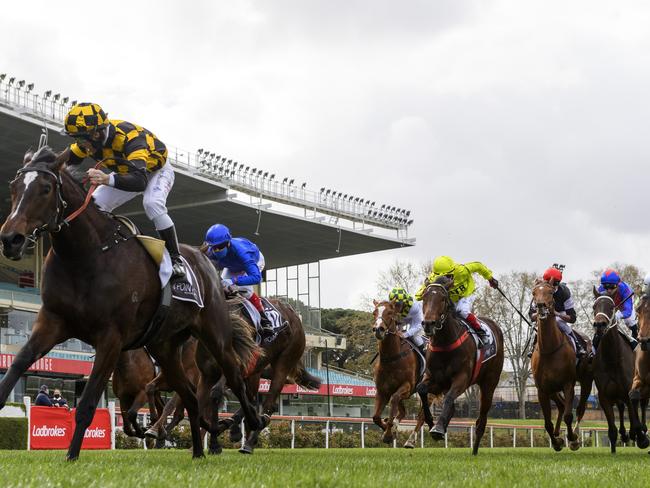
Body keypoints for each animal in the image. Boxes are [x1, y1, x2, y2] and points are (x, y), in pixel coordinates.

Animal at [0, 147, 260, 460]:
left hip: (215, 334)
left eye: (46, 188)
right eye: (14, 187)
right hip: (165, 348)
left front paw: (71, 456)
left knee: (234, 378)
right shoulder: (51, 322)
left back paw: (250, 424)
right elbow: (16, 367)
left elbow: (87, 404)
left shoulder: (110, 338)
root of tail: (205, 260)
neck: (86, 255)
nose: (10, 239)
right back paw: (197, 450)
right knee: (188, 396)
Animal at [370, 298, 426, 446]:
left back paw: (410, 441)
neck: (392, 358)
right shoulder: (382, 390)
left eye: (390, 312)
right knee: (403, 412)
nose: (378, 329)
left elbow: (394, 400)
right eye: (374, 312)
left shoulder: (407, 386)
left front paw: (389, 433)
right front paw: (387, 430)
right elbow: (375, 417)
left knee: (421, 416)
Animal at [412, 276, 504, 456]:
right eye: (424, 298)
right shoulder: (436, 379)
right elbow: (421, 390)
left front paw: (438, 428)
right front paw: (431, 422)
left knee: (481, 419)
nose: (428, 323)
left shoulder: (462, 378)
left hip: (489, 384)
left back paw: (474, 450)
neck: (445, 342)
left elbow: (448, 399)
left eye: (442, 298)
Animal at [528, 280, 588, 452]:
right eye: (534, 292)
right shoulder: (542, 389)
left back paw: (574, 436)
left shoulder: (568, 384)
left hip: (586, 381)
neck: (550, 349)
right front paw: (556, 442)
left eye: (549, 292)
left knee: (580, 408)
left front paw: (572, 439)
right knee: (561, 405)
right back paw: (556, 434)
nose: (540, 306)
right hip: (552, 389)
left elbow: (569, 415)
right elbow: (547, 422)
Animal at [588, 288, 644, 452]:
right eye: (594, 306)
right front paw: (613, 450)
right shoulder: (604, 396)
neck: (612, 358)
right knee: (621, 408)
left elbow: (635, 420)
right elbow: (612, 429)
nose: (599, 324)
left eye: (612, 307)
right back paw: (626, 434)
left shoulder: (629, 391)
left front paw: (642, 438)